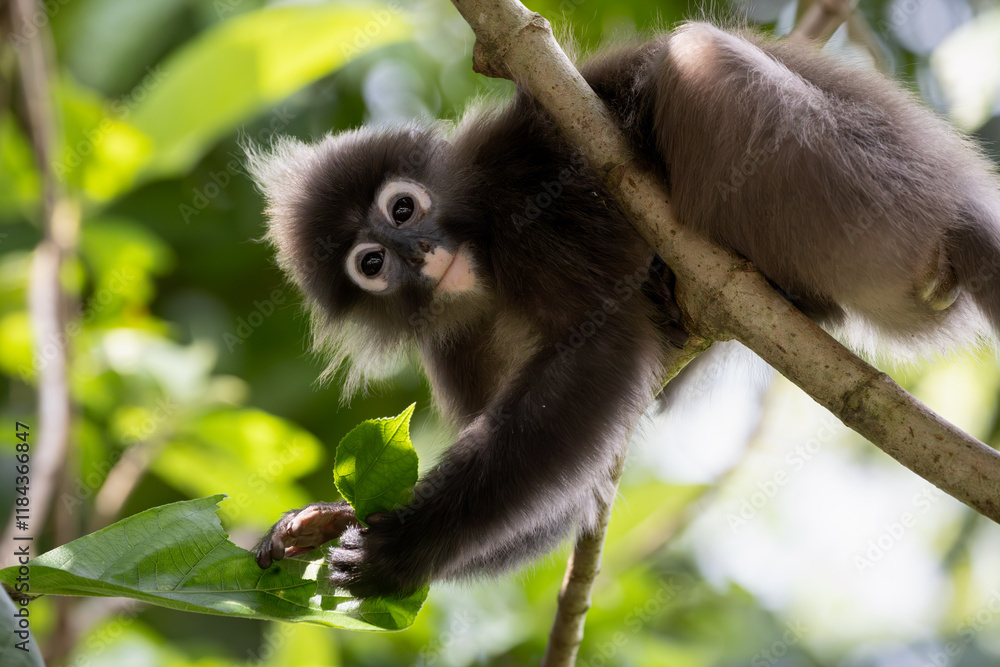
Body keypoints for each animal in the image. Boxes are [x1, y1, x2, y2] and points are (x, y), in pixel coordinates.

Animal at [247, 22, 1000, 599]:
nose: (419, 252)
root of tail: (955, 209)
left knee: (696, 53)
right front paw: (315, 524)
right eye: (371, 263)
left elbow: (597, 354)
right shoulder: (452, 341)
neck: (481, 266)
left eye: (402, 208)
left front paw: (405, 545)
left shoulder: (524, 209)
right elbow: (577, 493)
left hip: (862, 191)